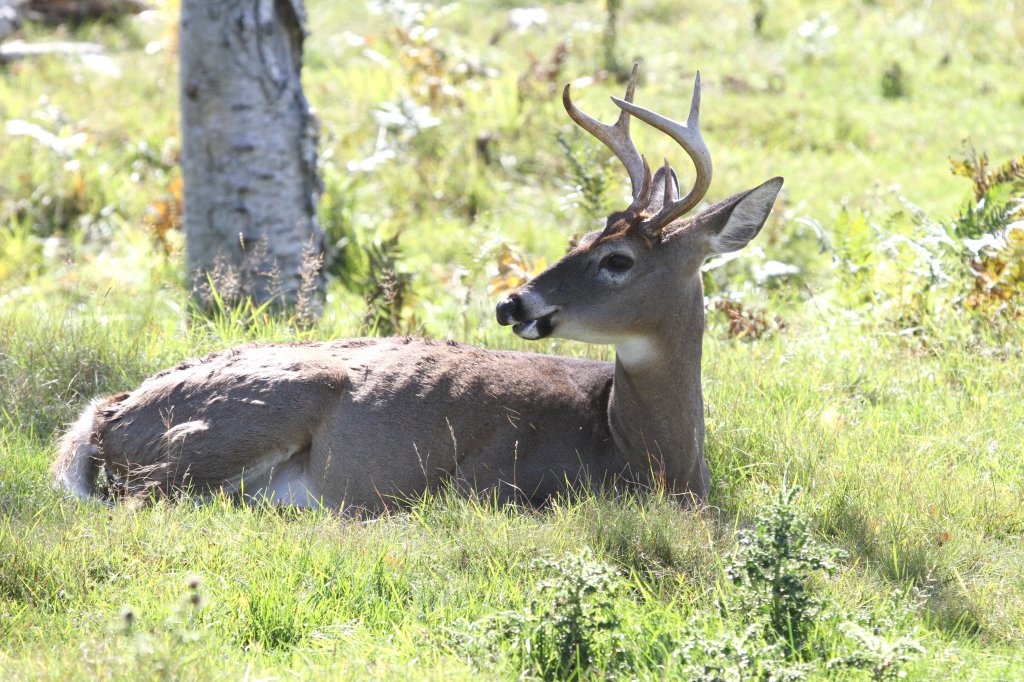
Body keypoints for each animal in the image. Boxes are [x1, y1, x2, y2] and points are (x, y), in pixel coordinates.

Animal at [51, 65, 782, 509]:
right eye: (580, 238)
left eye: (618, 259)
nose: (511, 301)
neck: (640, 453)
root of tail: (109, 412)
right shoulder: (498, 485)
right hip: (241, 423)